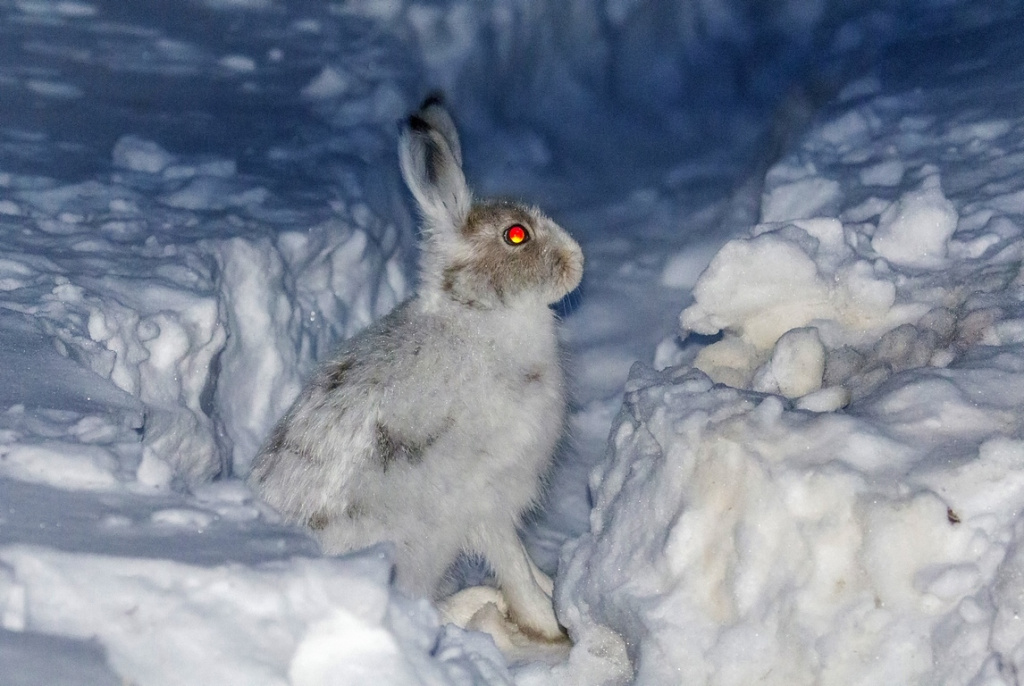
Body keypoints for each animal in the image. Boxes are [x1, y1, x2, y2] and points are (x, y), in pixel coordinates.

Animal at [247, 96, 583, 642]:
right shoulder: (488, 496)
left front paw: (555, 591)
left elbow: (525, 563)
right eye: (516, 235)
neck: (475, 315)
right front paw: (550, 624)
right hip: (412, 548)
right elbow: (512, 562)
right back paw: (479, 609)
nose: (577, 262)